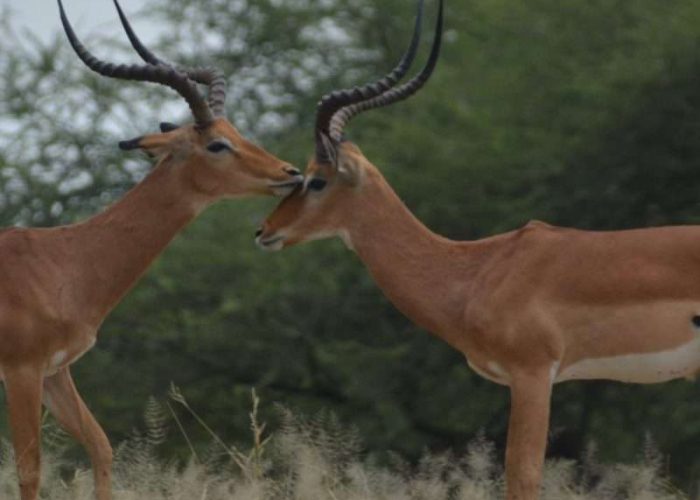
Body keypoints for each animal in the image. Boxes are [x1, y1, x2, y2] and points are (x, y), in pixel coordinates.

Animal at [0, 1, 300, 498]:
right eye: (216, 143)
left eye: (236, 130)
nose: (290, 172)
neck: (64, 262)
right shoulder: (21, 371)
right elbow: (29, 469)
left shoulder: (56, 372)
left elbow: (101, 447)